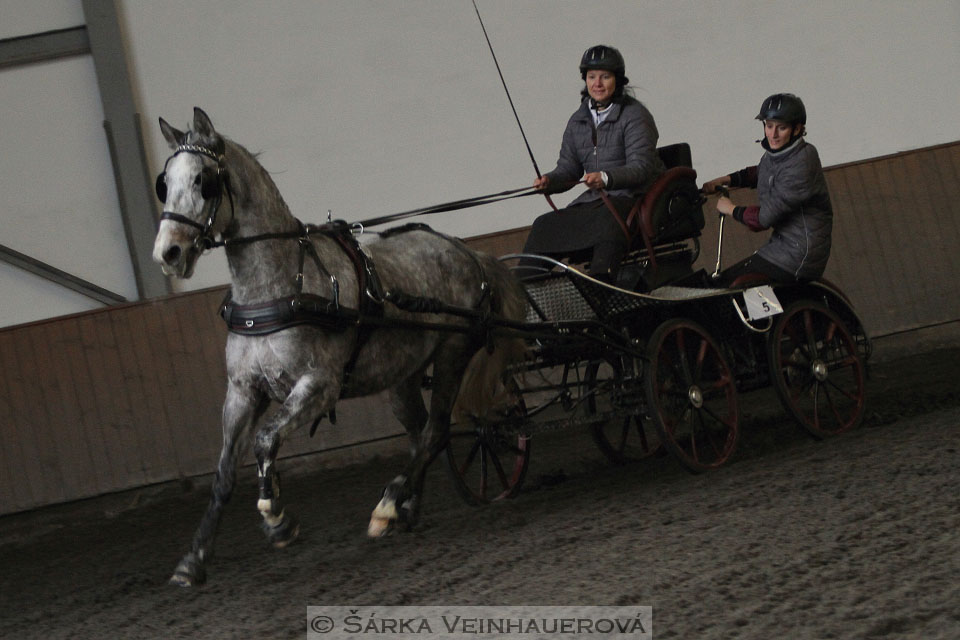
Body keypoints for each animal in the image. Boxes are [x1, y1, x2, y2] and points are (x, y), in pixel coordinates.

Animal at [154, 109, 524, 584]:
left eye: (204, 180)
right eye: (165, 181)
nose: (168, 252)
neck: (278, 288)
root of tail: (467, 253)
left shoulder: (319, 386)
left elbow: (265, 440)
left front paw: (276, 518)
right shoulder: (242, 391)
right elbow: (224, 472)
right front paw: (194, 559)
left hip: (453, 354)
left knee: (436, 431)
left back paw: (387, 508)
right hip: (402, 374)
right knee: (420, 432)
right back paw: (406, 509)